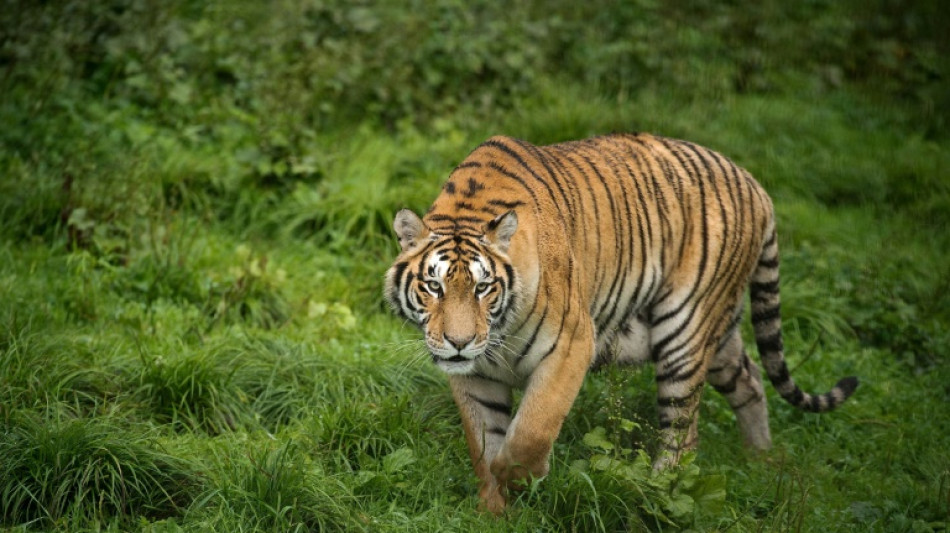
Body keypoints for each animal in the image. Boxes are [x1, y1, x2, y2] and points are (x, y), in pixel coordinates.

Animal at [384, 133, 858, 514]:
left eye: (483, 288)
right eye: (434, 286)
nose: (459, 342)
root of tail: (755, 183)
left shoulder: (571, 344)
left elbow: (531, 430)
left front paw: (517, 477)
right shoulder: (474, 375)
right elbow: (483, 440)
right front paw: (494, 510)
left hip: (684, 330)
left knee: (683, 435)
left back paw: (656, 490)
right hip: (720, 335)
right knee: (752, 378)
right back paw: (760, 459)